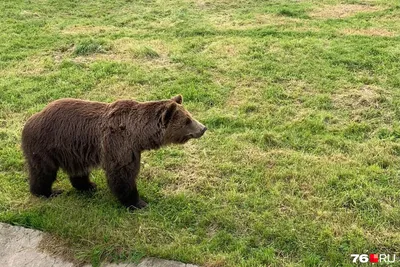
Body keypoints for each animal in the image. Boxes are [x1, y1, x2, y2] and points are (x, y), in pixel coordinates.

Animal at [21, 95, 206, 210]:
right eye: (187, 120)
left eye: (190, 115)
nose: (203, 128)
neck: (138, 134)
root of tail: (31, 119)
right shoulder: (119, 145)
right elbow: (122, 175)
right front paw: (138, 202)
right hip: (46, 145)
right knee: (43, 171)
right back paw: (48, 192)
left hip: (73, 150)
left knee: (78, 170)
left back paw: (88, 186)